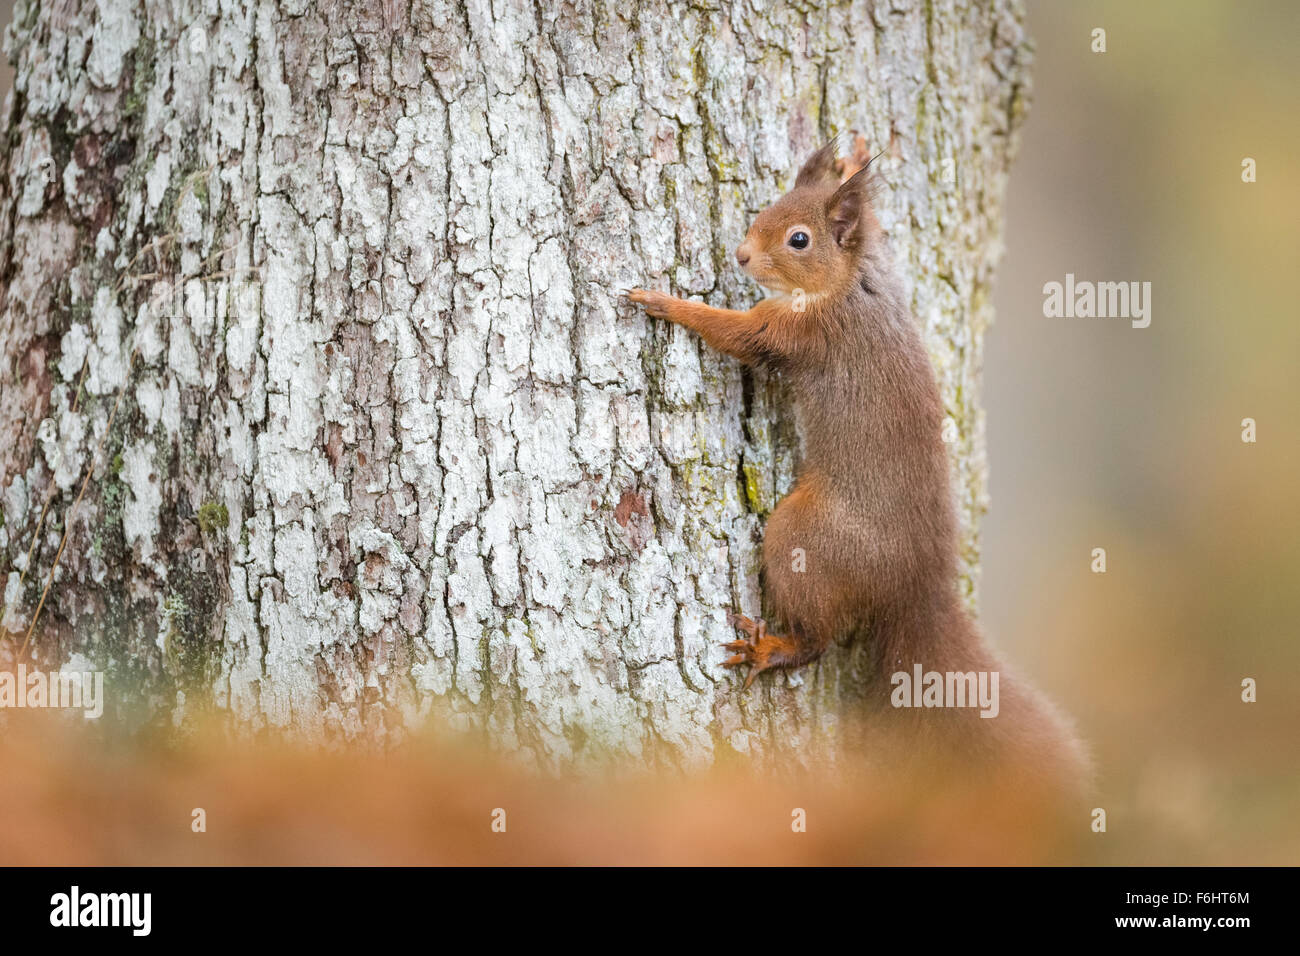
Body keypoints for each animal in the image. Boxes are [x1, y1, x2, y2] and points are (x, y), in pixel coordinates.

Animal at [624, 136, 1092, 790]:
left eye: (799, 239)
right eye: (770, 207)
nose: (741, 256)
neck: (851, 284)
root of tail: (916, 587)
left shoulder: (803, 335)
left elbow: (737, 334)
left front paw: (665, 303)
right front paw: (849, 162)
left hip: (805, 538)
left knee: (819, 639)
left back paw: (772, 649)